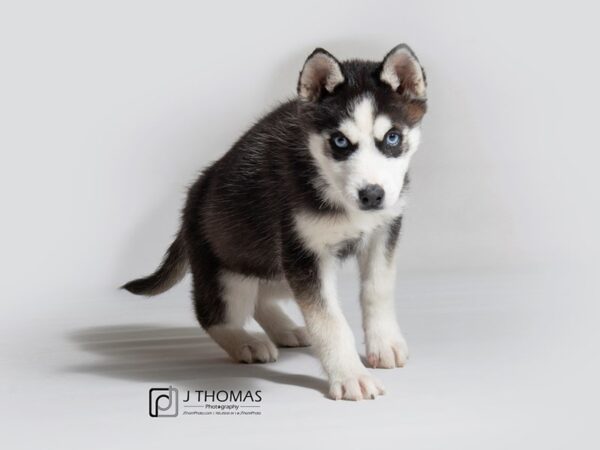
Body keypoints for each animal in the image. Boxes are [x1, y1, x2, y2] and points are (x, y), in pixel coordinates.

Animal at [124, 44, 428, 400]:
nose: (371, 195)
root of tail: (192, 198)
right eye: (340, 142)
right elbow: (328, 321)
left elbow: (377, 290)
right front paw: (351, 375)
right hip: (229, 269)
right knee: (214, 314)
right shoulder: (305, 254)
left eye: (392, 138)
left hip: (274, 265)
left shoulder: (382, 233)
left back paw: (285, 329)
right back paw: (246, 342)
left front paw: (384, 344)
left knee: (260, 295)